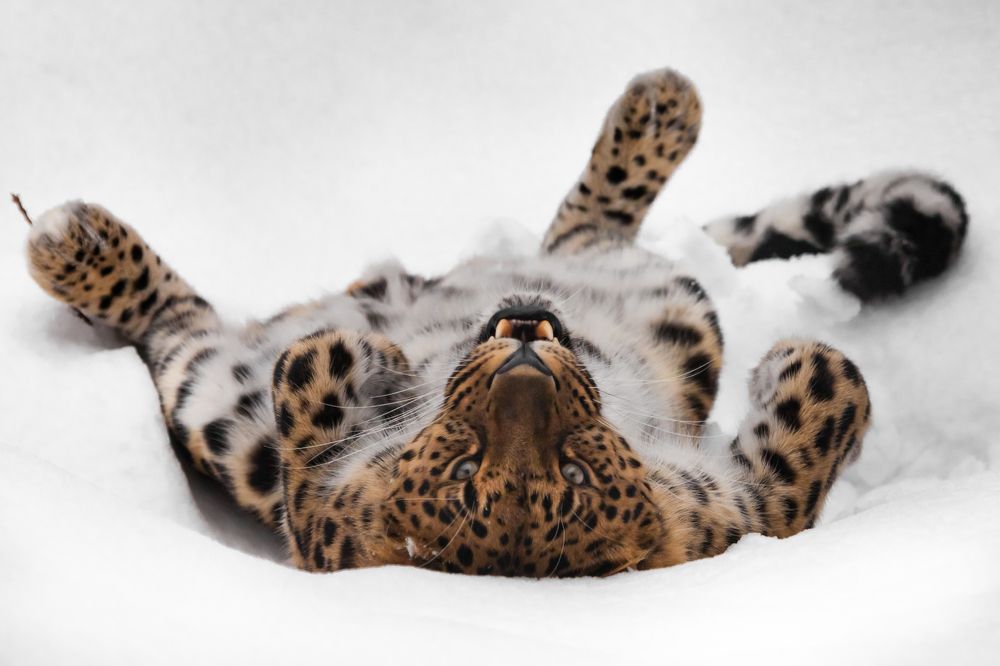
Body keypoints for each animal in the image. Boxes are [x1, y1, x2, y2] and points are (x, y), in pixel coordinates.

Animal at [22, 67, 968, 577]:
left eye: (579, 466)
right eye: (461, 460)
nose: (522, 339)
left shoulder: (747, 511)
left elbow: (827, 412)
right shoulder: (318, 520)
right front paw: (364, 365)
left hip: (673, 311)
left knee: (590, 237)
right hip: (225, 407)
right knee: (182, 326)